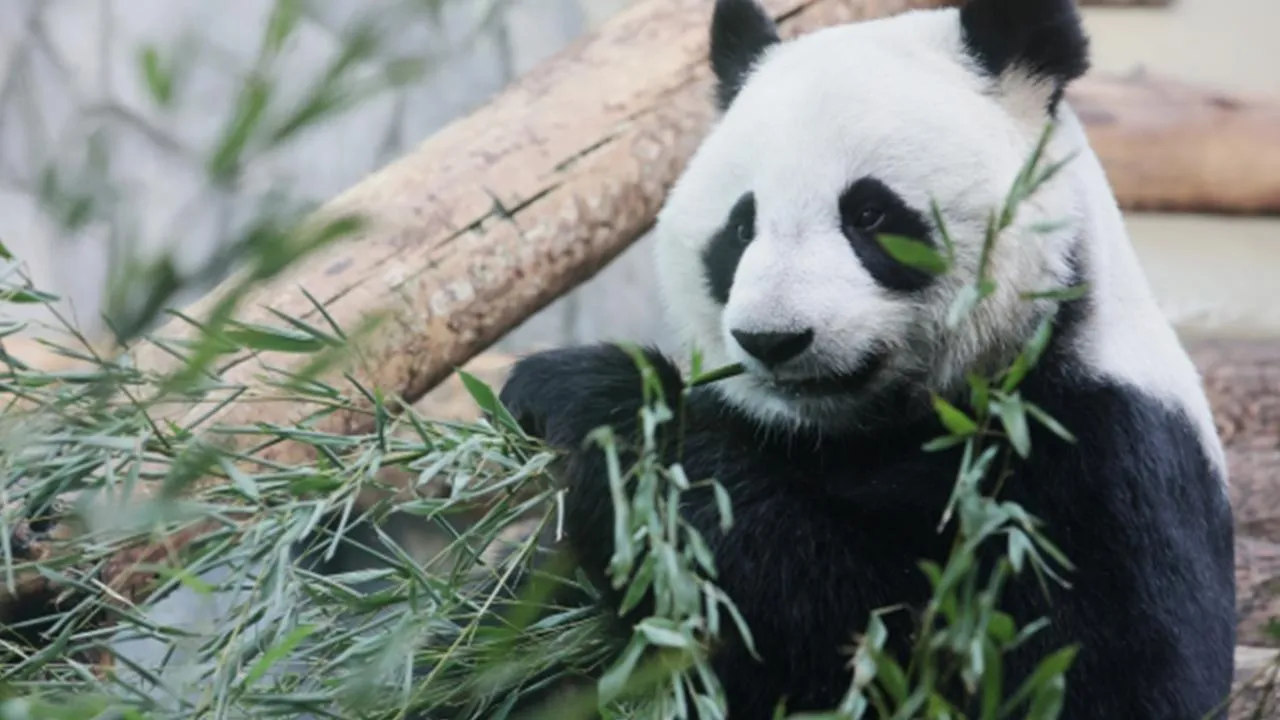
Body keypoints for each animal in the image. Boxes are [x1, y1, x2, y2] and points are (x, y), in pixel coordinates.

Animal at [494, 0, 1233, 712]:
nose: (773, 339)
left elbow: (1058, 667)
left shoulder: (1097, 454)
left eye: (871, 214)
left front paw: (593, 394)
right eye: (740, 227)